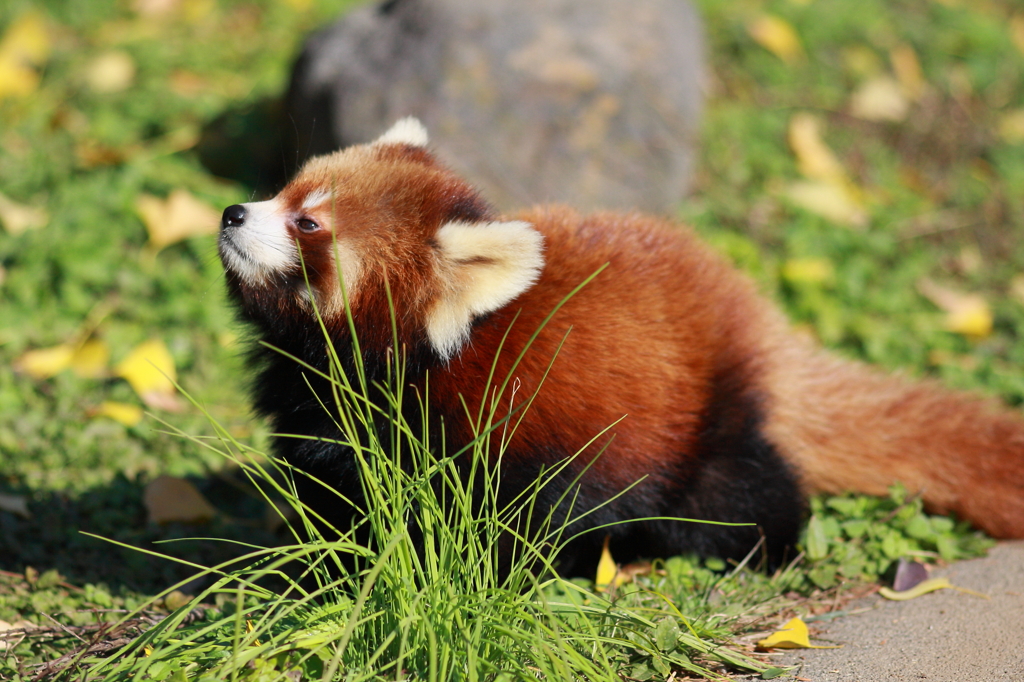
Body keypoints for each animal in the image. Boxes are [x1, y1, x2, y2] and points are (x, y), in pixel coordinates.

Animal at [220, 118, 1024, 573]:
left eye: (309, 225)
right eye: (282, 191)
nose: (231, 212)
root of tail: (753, 318)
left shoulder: (505, 434)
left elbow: (513, 527)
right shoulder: (330, 427)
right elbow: (339, 505)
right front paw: (313, 566)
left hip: (702, 431)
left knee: (740, 499)